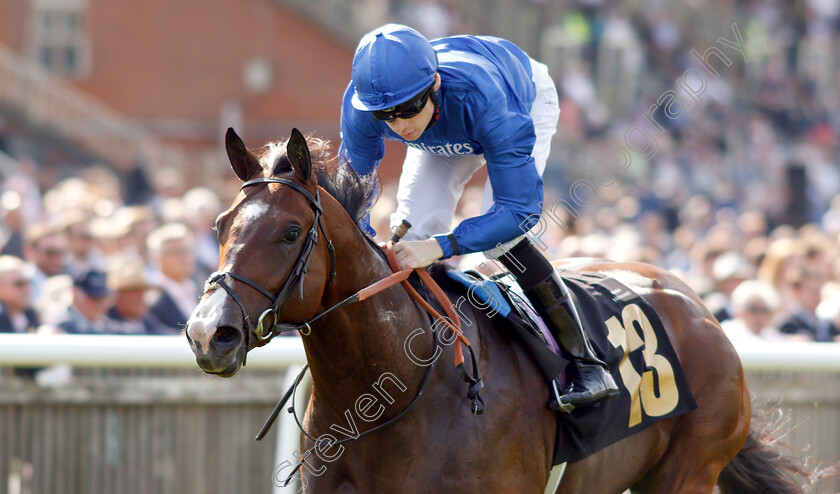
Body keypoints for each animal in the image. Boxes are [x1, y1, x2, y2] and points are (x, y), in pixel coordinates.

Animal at [187, 128, 812, 494]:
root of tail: (699, 307)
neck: (395, 389)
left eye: (291, 232)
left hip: (689, 470)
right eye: (218, 225)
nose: (208, 333)